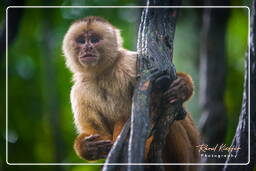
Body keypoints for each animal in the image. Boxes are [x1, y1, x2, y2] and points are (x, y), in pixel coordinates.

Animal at [62, 16, 200, 171]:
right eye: (81, 40)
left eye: (94, 39)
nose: (87, 47)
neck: (102, 73)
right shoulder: (79, 91)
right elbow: (100, 136)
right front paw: (87, 148)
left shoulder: (130, 63)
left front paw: (182, 86)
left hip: (189, 158)